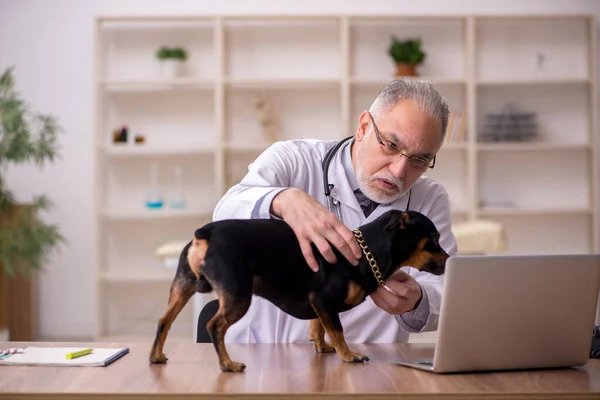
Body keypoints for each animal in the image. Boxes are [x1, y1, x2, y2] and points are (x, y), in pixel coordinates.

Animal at [149, 209, 450, 372]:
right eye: (435, 240)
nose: (451, 260)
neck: (368, 252)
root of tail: (206, 234)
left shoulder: (318, 304)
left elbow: (318, 328)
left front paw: (323, 348)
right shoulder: (324, 301)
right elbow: (338, 330)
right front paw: (348, 355)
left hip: (182, 286)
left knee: (164, 320)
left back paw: (156, 356)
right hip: (238, 296)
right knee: (215, 326)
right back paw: (228, 364)